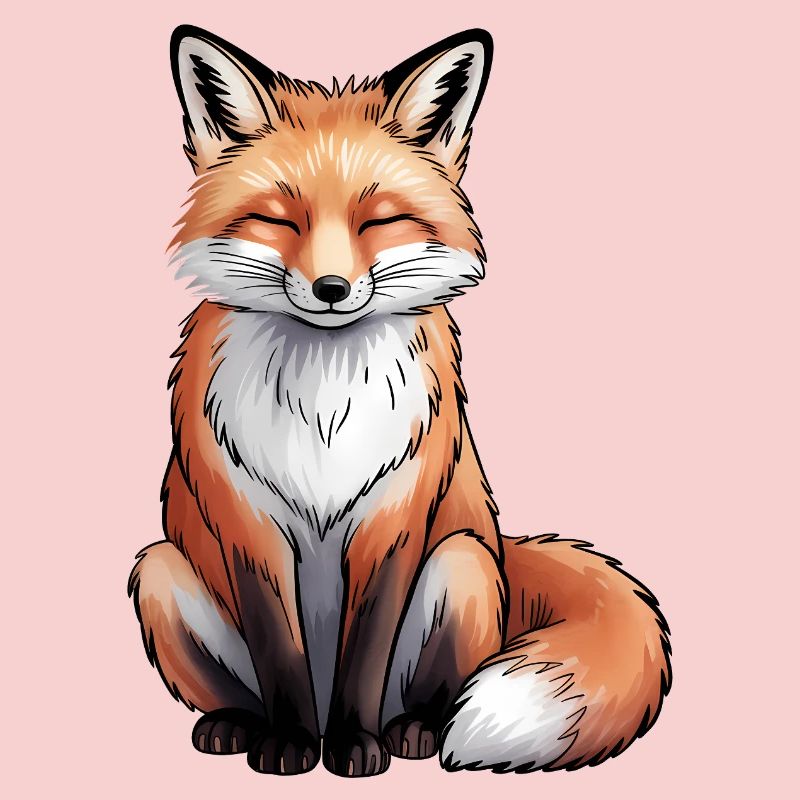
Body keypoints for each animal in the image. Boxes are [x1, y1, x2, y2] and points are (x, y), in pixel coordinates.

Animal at [128, 25, 672, 778]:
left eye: (378, 221)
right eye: (277, 219)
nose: (330, 288)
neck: (324, 410)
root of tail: (505, 547)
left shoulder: (393, 518)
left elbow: (366, 651)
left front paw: (353, 747)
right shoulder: (249, 525)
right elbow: (279, 649)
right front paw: (292, 746)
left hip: (463, 563)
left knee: (431, 696)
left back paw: (409, 733)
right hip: (158, 569)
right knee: (238, 687)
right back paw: (239, 725)